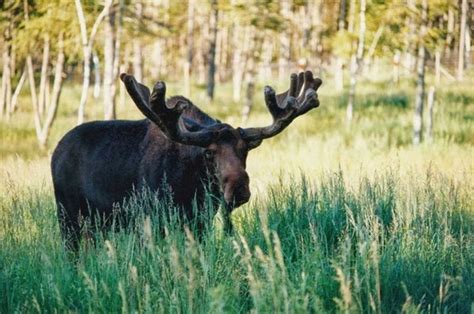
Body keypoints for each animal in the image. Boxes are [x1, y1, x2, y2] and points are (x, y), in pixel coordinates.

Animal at [51, 70, 322, 250]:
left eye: (245, 150)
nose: (238, 190)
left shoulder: (200, 222)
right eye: (209, 152)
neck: (194, 187)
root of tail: (56, 150)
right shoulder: (150, 220)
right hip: (68, 217)